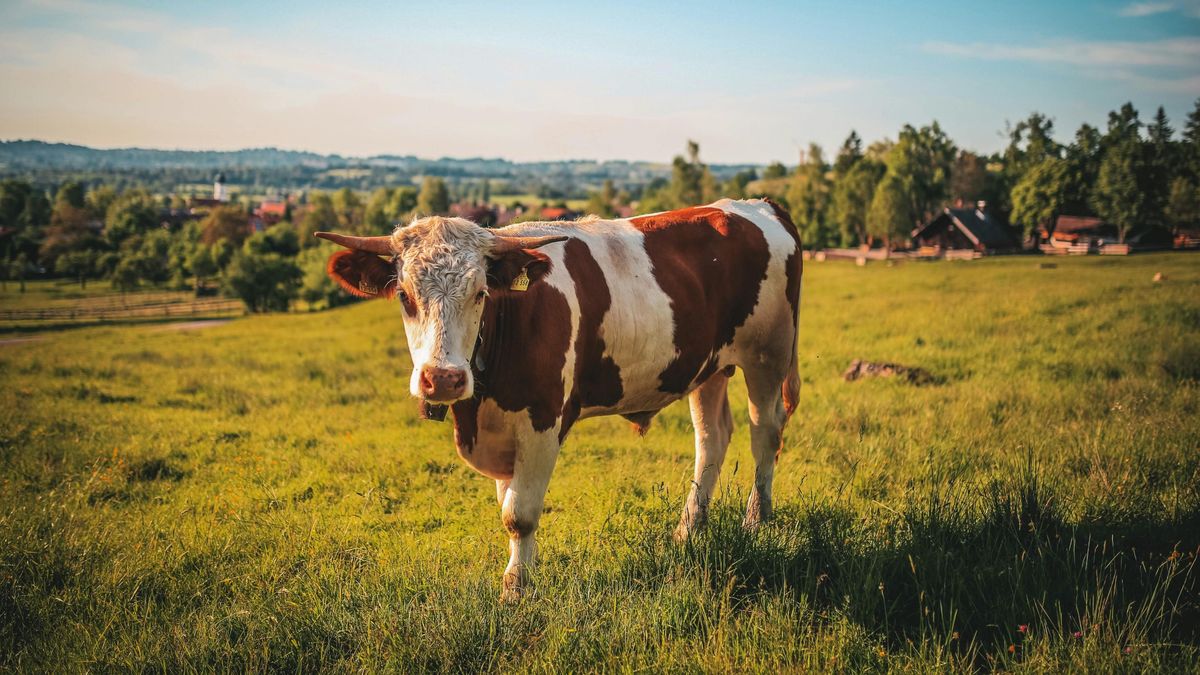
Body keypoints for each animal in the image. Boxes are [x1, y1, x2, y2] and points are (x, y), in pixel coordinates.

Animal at [319, 196, 806, 595]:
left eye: (480, 293)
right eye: (404, 296)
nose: (443, 378)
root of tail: (756, 205)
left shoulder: (543, 420)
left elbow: (519, 514)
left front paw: (516, 588)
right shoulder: (503, 434)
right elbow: (509, 503)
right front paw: (522, 573)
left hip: (768, 353)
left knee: (765, 433)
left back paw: (756, 520)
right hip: (708, 367)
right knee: (712, 439)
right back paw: (688, 529)